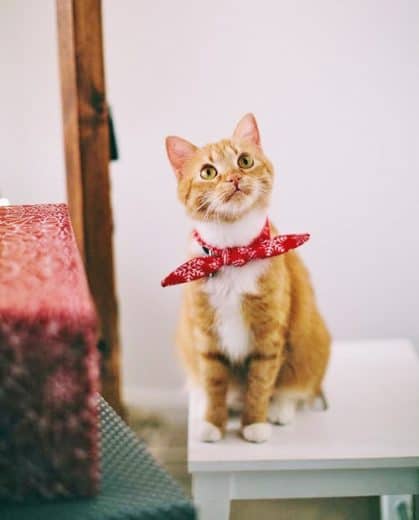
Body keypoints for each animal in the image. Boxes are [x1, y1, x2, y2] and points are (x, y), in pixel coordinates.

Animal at [165, 114, 332, 442]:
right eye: (208, 172)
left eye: (244, 161)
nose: (233, 178)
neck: (234, 253)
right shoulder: (206, 336)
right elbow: (214, 382)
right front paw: (213, 423)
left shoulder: (269, 335)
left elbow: (260, 384)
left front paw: (254, 423)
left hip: (311, 343)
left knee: (296, 389)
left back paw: (280, 409)